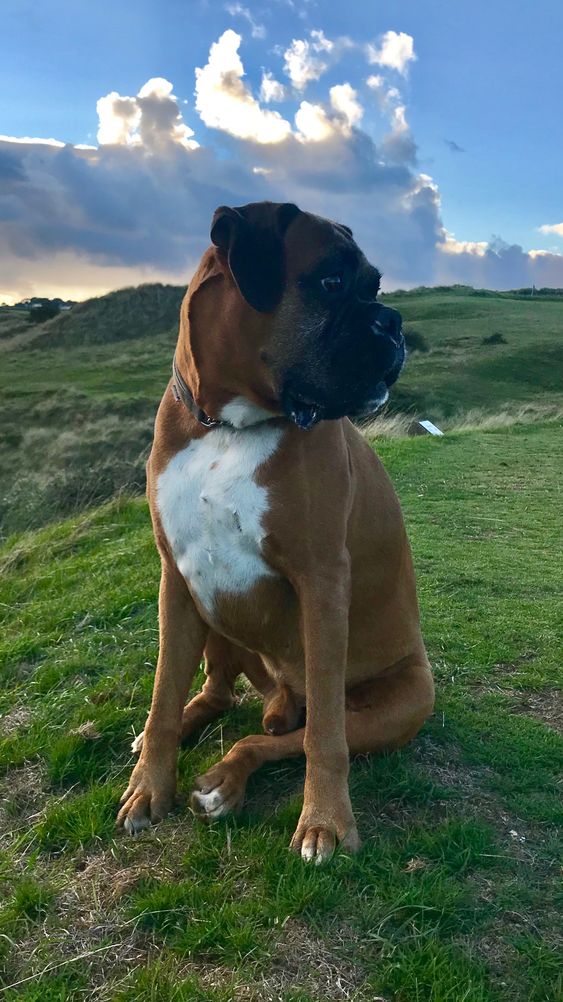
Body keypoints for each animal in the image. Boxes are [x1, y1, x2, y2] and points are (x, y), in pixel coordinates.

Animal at [117, 201, 434, 861]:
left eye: (375, 288)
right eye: (332, 282)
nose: (392, 322)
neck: (226, 425)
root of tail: (278, 699)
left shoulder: (322, 582)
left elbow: (325, 739)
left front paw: (327, 822)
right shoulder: (174, 575)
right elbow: (162, 696)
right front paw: (149, 786)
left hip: (397, 705)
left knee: (286, 735)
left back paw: (224, 780)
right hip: (209, 605)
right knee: (214, 693)